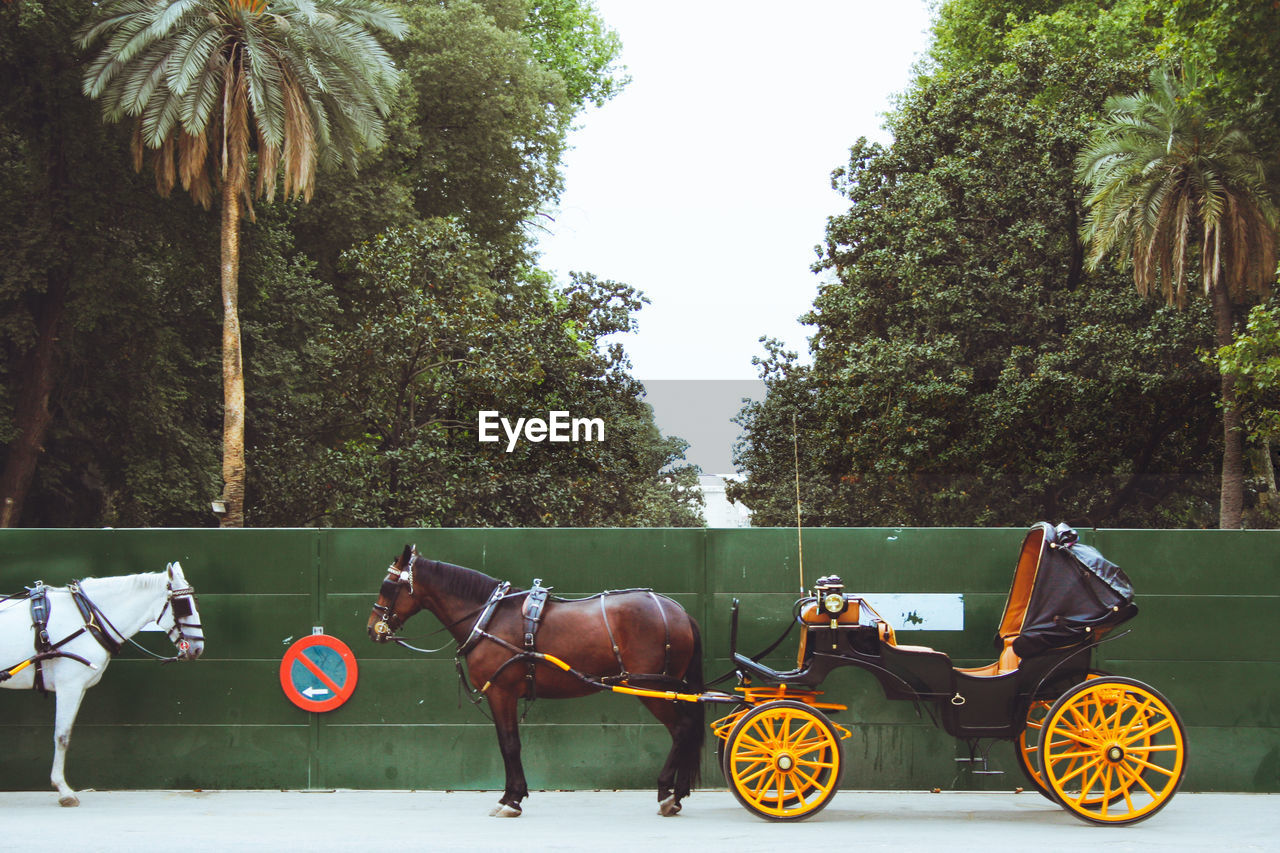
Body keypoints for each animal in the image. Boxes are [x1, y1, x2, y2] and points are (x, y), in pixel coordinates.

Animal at [0, 560, 202, 799]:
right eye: (183, 605)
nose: (198, 648)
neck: (87, 620)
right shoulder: (69, 686)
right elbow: (61, 736)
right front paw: (64, 790)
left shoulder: (79, 688)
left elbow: (67, 733)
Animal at [366, 545, 706, 819]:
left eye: (389, 586)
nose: (372, 629)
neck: (490, 617)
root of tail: (679, 612)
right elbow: (509, 744)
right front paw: (513, 795)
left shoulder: (501, 693)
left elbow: (509, 744)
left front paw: (511, 800)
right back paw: (678, 792)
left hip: (650, 687)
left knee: (681, 729)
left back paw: (667, 794)